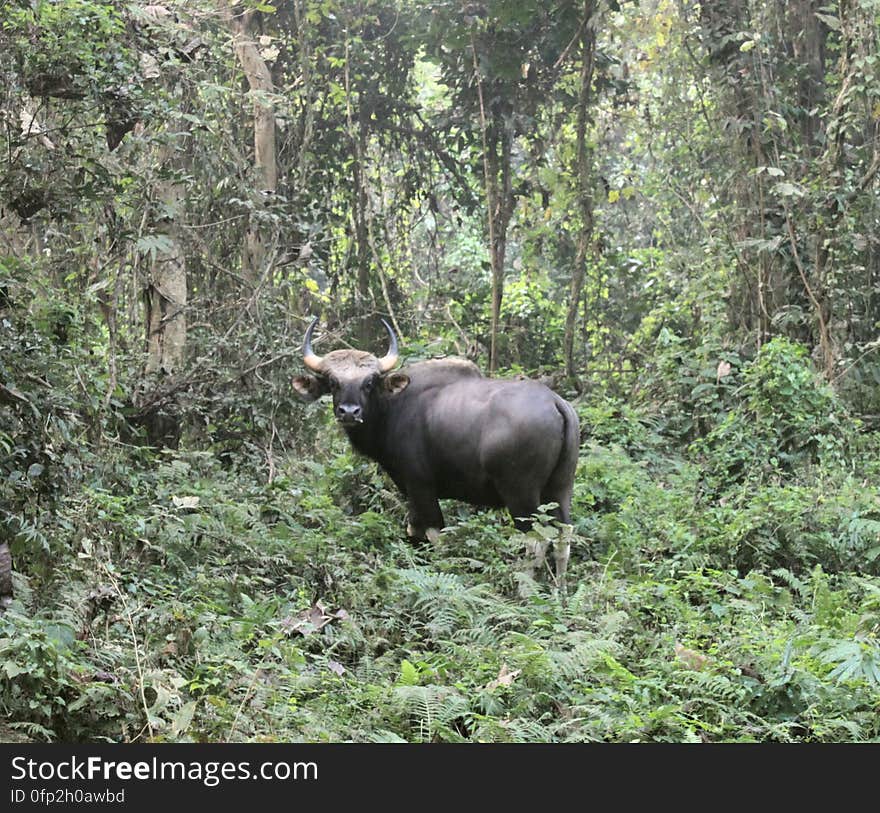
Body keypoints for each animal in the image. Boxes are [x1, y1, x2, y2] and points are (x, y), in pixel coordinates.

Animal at [292, 318, 580, 584]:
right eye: (333, 381)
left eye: (369, 382)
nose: (349, 412)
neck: (393, 407)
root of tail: (555, 402)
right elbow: (414, 532)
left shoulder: (420, 486)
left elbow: (433, 534)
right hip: (560, 487)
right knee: (563, 534)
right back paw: (561, 589)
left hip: (520, 494)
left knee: (535, 539)